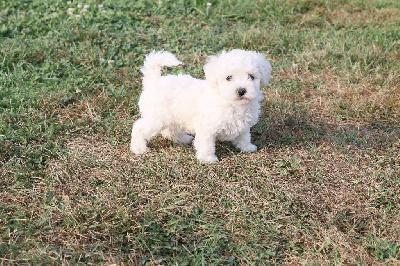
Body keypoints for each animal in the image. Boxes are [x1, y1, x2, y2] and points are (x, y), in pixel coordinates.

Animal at [130, 49, 272, 162]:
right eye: (228, 77)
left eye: (251, 77)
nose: (241, 91)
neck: (231, 103)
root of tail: (153, 81)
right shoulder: (206, 128)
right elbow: (207, 144)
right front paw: (208, 159)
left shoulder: (244, 124)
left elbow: (244, 136)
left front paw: (247, 147)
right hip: (156, 118)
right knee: (139, 127)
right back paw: (138, 148)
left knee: (170, 131)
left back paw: (183, 139)